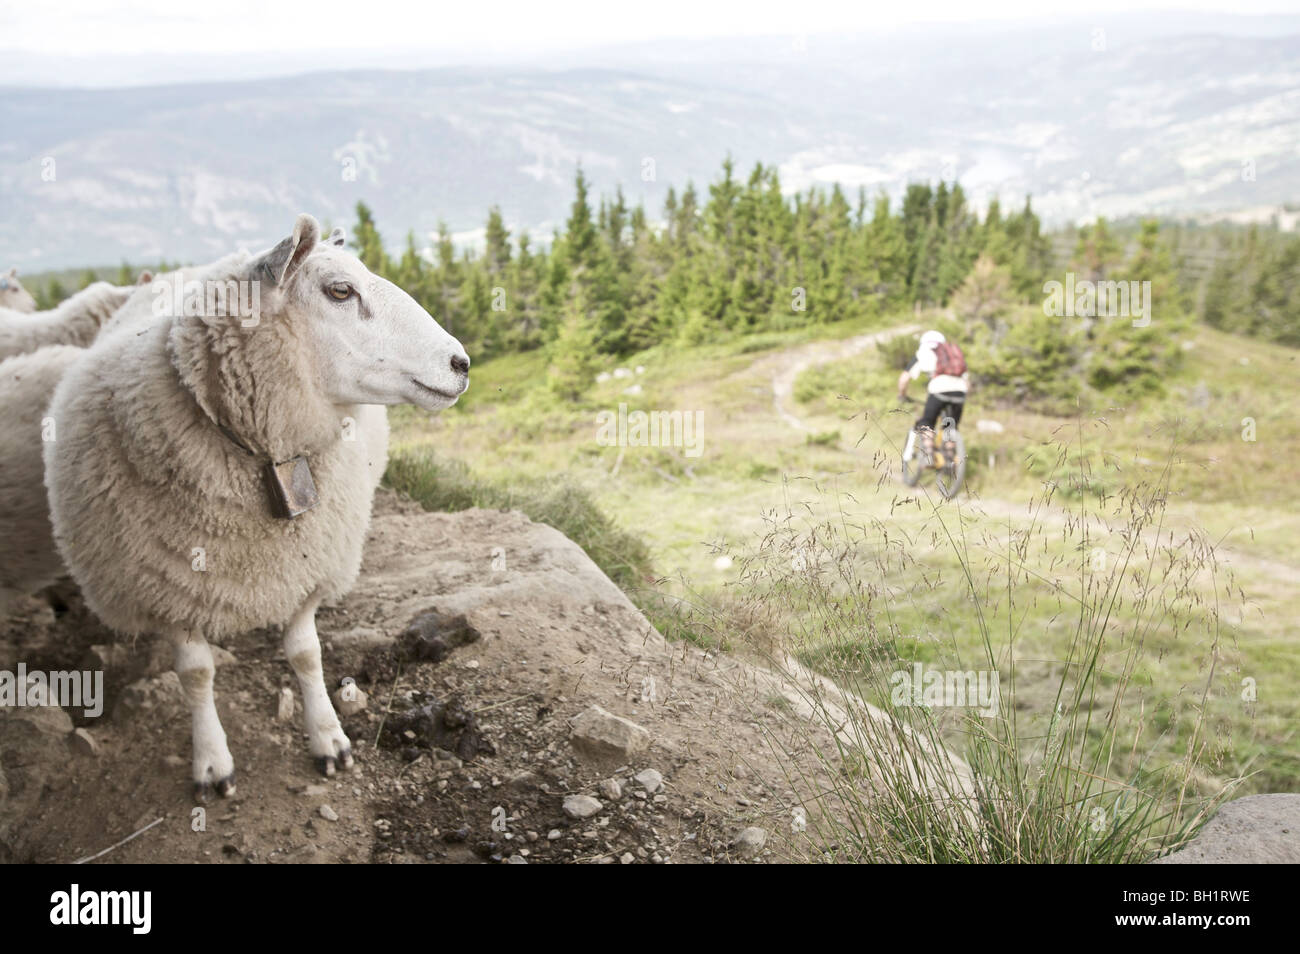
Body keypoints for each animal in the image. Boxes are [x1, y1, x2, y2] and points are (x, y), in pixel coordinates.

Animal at [45, 214, 473, 800]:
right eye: (340, 291)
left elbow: (307, 655)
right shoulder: (164, 586)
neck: (267, 456)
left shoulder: (305, 564)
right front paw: (211, 763)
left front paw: (328, 739)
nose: (461, 364)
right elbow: (196, 675)